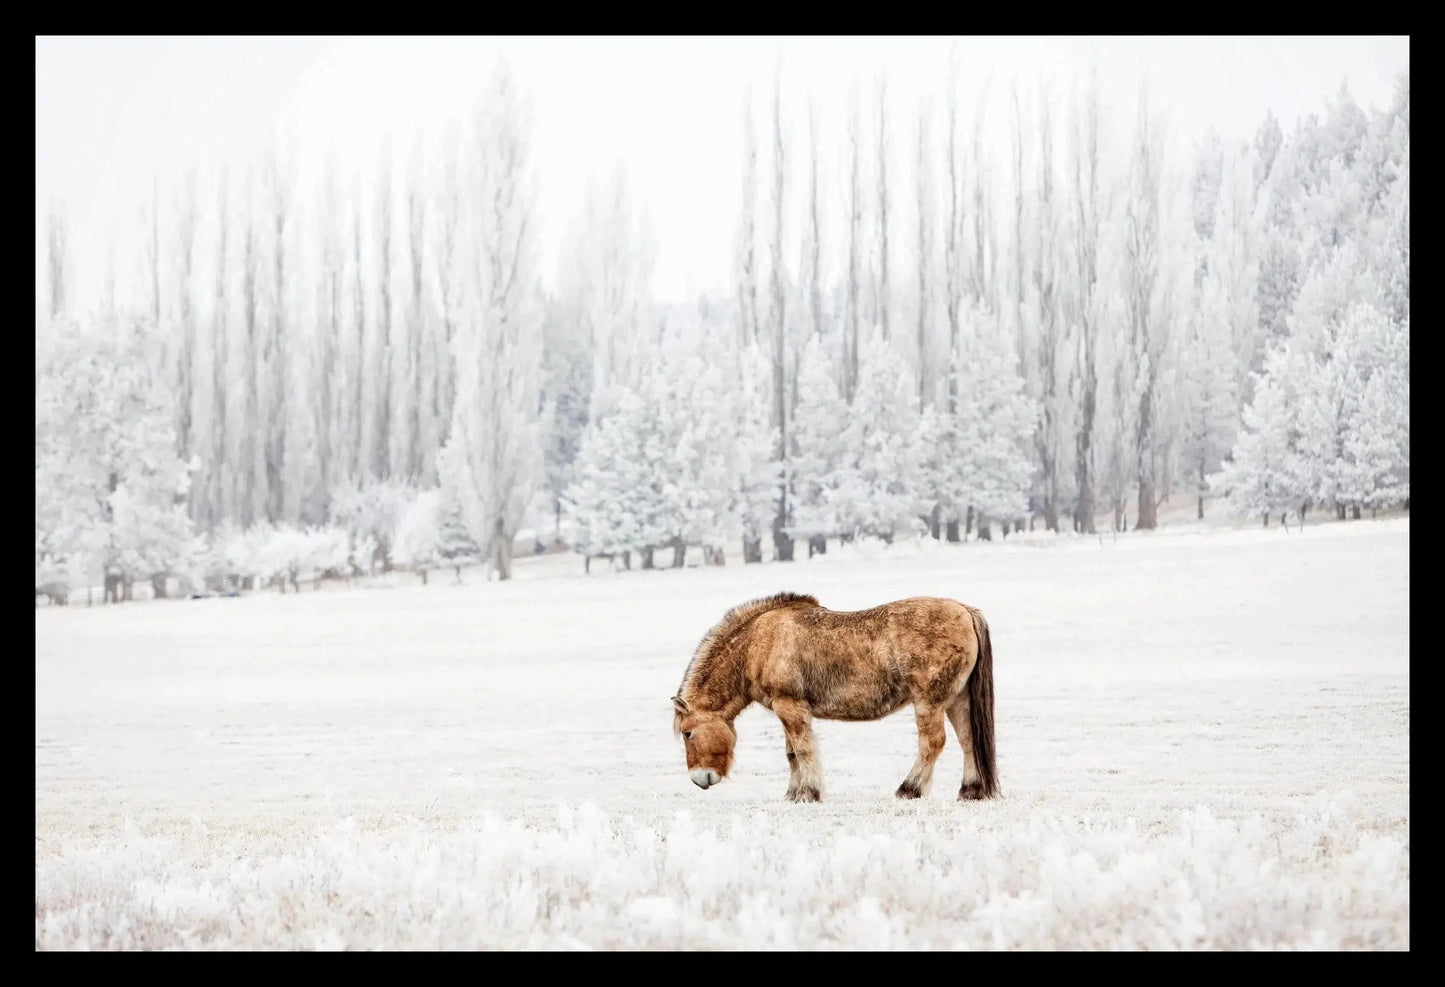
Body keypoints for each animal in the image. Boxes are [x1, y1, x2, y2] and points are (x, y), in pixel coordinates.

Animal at [671, 592, 997, 802]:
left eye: (688, 733)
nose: (699, 779)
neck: (757, 643)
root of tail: (966, 611)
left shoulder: (790, 706)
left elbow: (803, 750)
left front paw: (808, 793)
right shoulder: (785, 708)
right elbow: (792, 754)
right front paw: (794, 793)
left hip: (929, 702)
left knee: (932, 743)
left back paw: (910, 789)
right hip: (956, 700)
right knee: (968, 740)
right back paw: (971, 790)